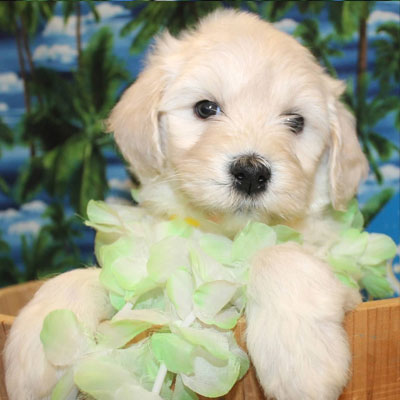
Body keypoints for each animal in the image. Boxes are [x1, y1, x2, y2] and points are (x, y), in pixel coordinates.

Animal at [3, 9, 366, 400]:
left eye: (296, 121)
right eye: (205, 108)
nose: (251, 172)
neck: (221, 233)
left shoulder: (345, 283)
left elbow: (279, 255)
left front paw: (300, 359)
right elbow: (88, 277)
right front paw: (38, 346)